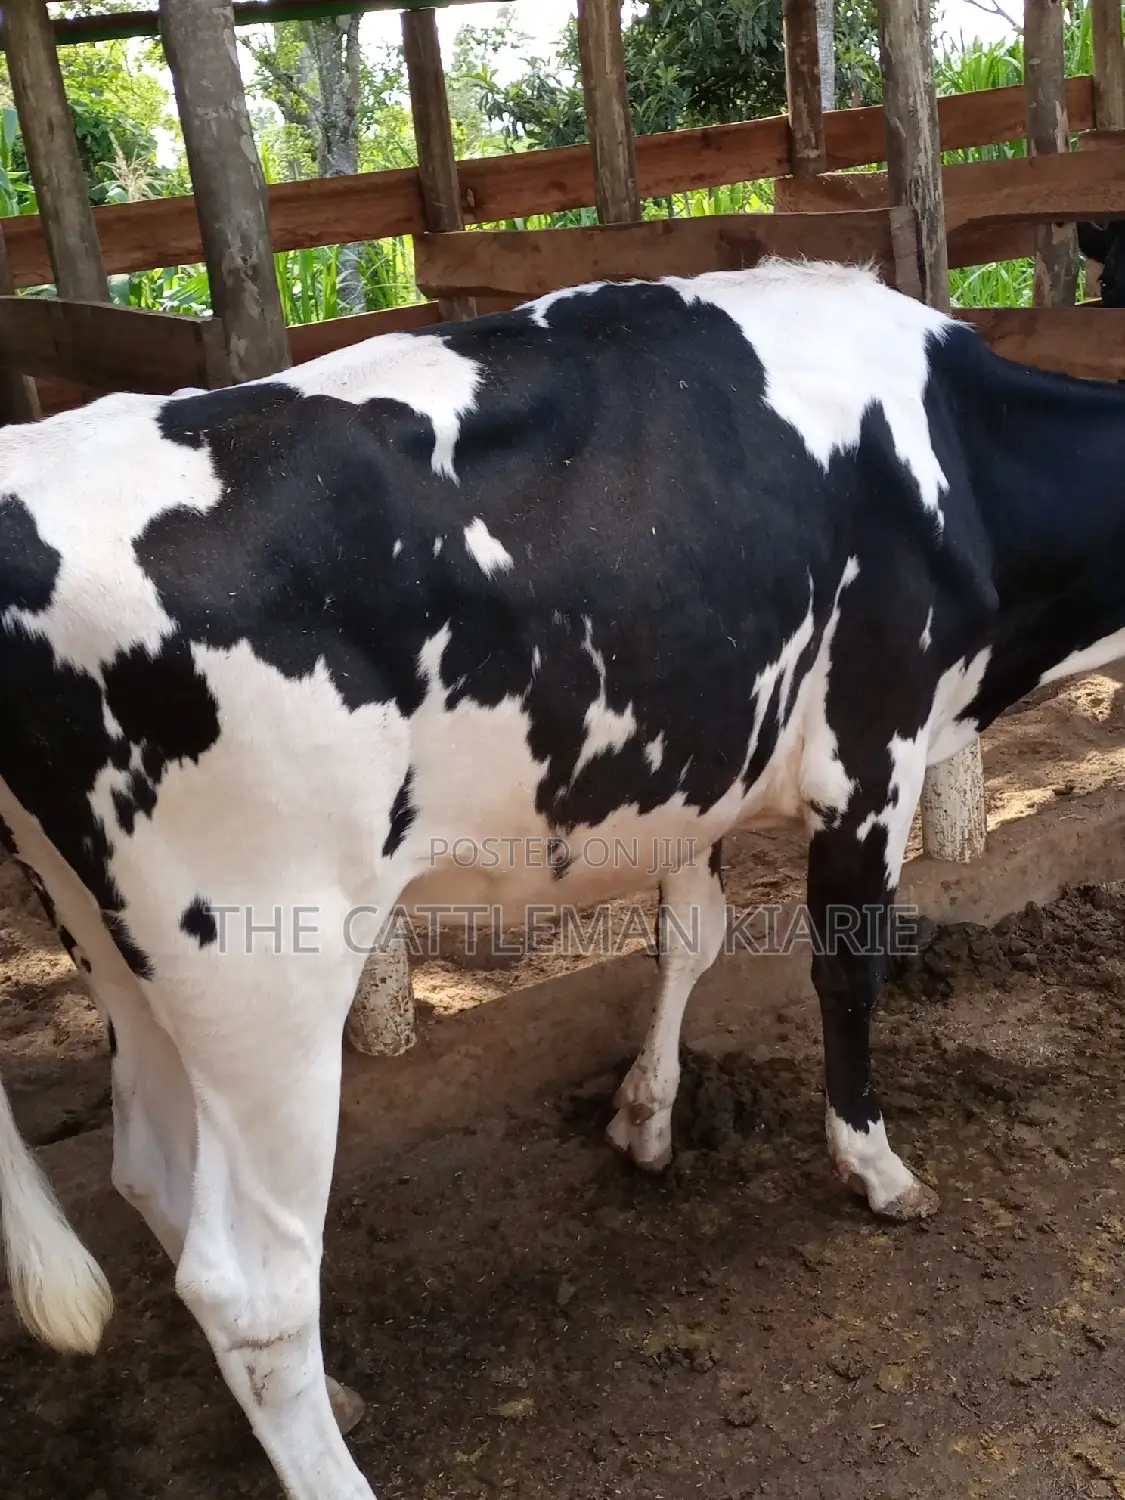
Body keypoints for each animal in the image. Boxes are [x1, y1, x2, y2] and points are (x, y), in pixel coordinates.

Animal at [1, 257, 1124, 1498]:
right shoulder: (869, 753)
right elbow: (846, 975)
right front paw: (874, 1167)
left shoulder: (704, 761)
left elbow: (693, 935)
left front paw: (647, 1116)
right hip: (260, 954)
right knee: (248, 1286)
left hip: (111, 939)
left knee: (152, 1172)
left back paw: (332, 1395)